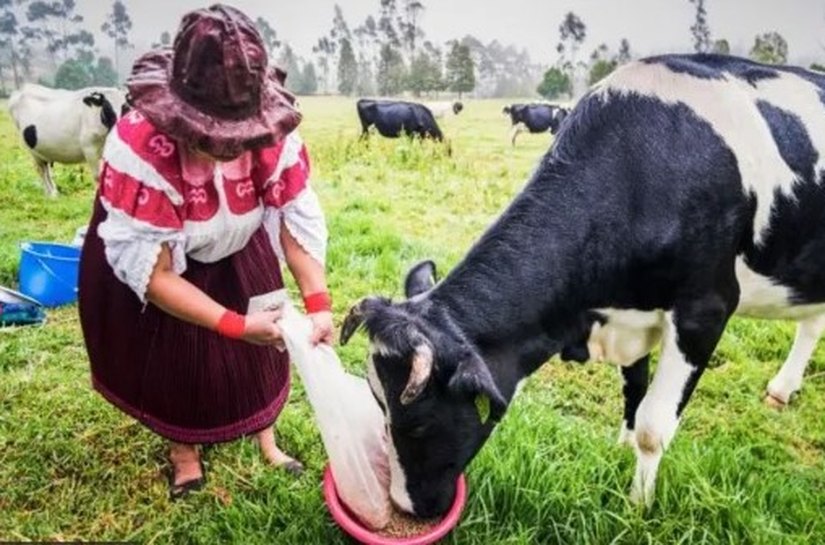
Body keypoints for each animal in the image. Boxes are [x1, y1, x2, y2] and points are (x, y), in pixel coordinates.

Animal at [340, 55, 824, 520]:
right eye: (378, 404)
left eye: (418, 422)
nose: (406, 507)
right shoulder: (632, 312)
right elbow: (633, 389)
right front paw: (620, 450)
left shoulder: (705, 309)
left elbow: (653, 427)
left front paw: (638, 508)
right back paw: (782, 389)